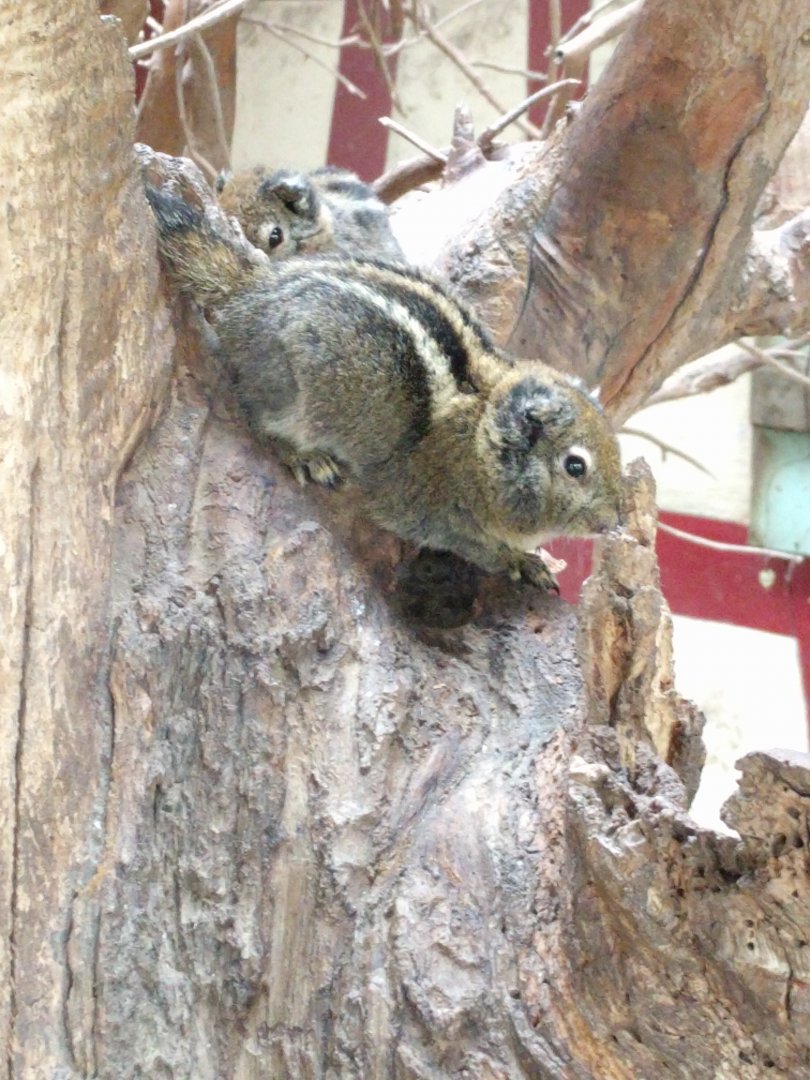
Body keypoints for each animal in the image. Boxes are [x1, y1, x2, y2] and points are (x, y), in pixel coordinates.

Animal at [144, 184, 622, 588]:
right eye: (575, 466)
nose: (613, 522)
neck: (477, 438)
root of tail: (249, 290)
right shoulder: (426, 510)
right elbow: (474, 546)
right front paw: (520, 561)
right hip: (286, 393)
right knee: (259, 420)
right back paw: (306, 456)